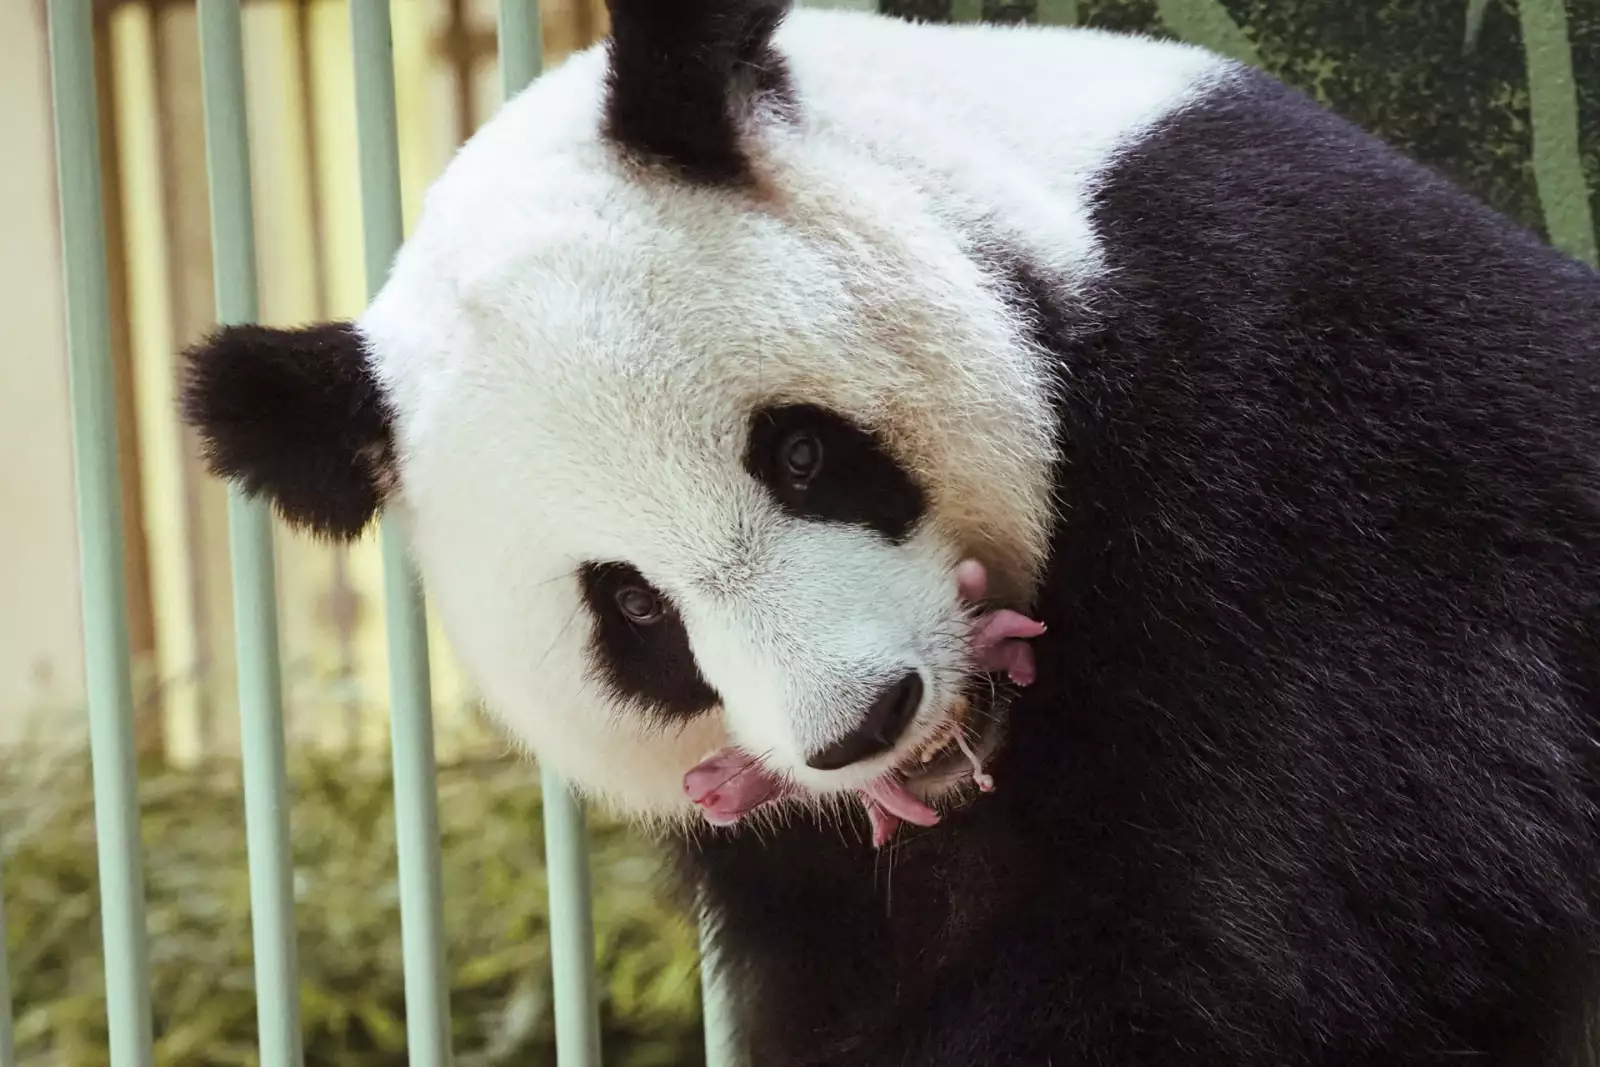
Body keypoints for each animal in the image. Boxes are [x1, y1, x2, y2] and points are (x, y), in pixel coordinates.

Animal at [181, 1, 1600, 1064]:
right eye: (633, 608)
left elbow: (1256, 938)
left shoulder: (1319, 459)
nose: (863, 719)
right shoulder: (800, 873)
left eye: (802, 454)